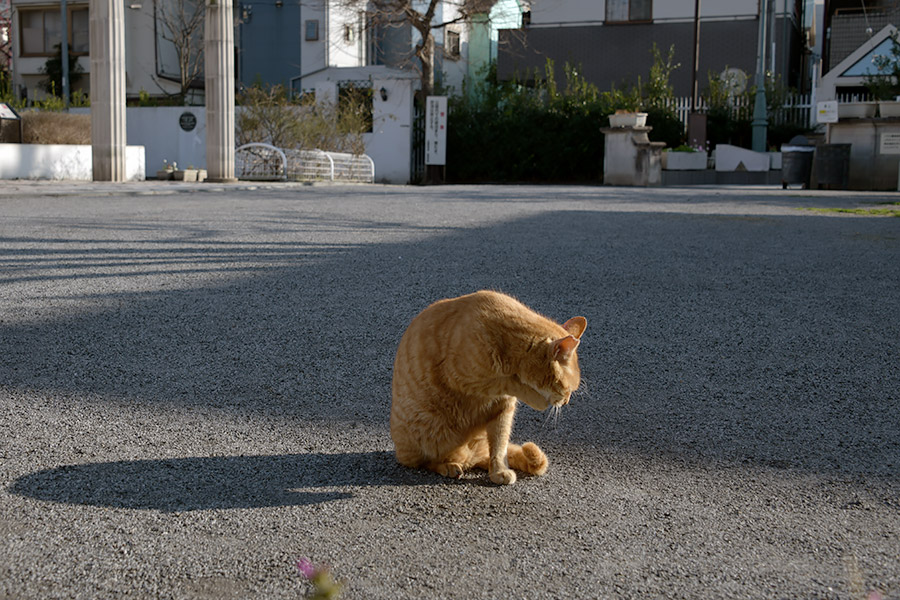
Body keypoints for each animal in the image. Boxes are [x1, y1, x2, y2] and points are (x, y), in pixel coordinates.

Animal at [390, 292, 588, 486]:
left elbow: (500, 447)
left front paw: (498, 471)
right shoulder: (462, 378)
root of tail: (469, 455)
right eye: (568, 389)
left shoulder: (503, 409)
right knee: (427, 462)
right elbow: (508, 382)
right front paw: (536, 398)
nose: (566, 401)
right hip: (419, 444)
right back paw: (448, 466)